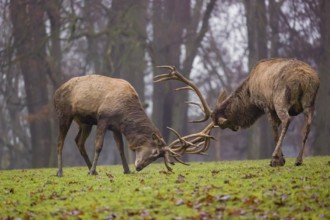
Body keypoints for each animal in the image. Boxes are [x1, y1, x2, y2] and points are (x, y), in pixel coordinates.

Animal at [52, 75, 210, 176]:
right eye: (155, 153)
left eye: (157, 158)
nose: (139, 167)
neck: (124, 111)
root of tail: (56, 92)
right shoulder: (103, 118)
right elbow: (99, 146)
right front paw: (92, 172)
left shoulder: (115, 127)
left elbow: (121, 148)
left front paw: (126, 170)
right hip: (64, 114)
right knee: (60, 142)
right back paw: (61, 171)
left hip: (85, 123)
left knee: (78, 141)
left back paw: (92, 169)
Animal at [157, 58, 320, 167]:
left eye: (223, 125)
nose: (235, 128)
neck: (250, 94)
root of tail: (304, 79)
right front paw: (282, 158)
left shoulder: (266, 105)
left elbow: (274, 131)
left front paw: (279, 159)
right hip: (310, 102)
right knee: (308, 126)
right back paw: (299, 160)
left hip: (280, 99)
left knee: (287, 120)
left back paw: (276, 158)